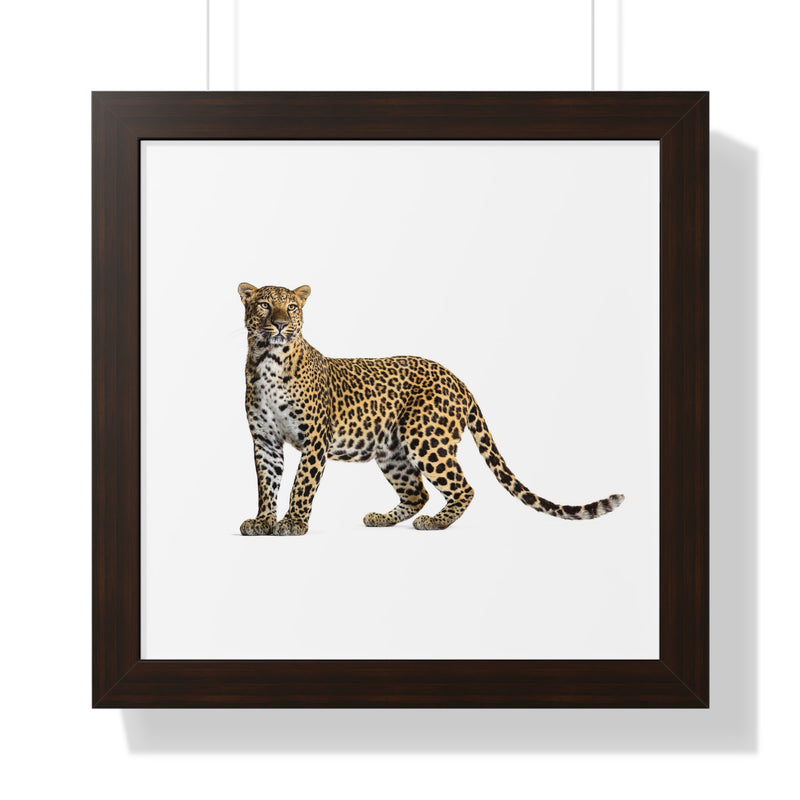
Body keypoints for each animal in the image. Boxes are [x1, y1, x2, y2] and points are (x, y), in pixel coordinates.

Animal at [238, 282, 624, 536]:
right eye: (264, 305)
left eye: (292, 307)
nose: (280, 324)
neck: (268, 360)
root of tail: (458, 379)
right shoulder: (265, 440)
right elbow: (267, 483)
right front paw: (263, 521)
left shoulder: (316, 437)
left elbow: (302, 482)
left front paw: (293, 523)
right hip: (393, 451)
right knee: (418, 492)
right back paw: (382, 518)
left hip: (426, 438)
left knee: (463, 488)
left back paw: (436, 523)